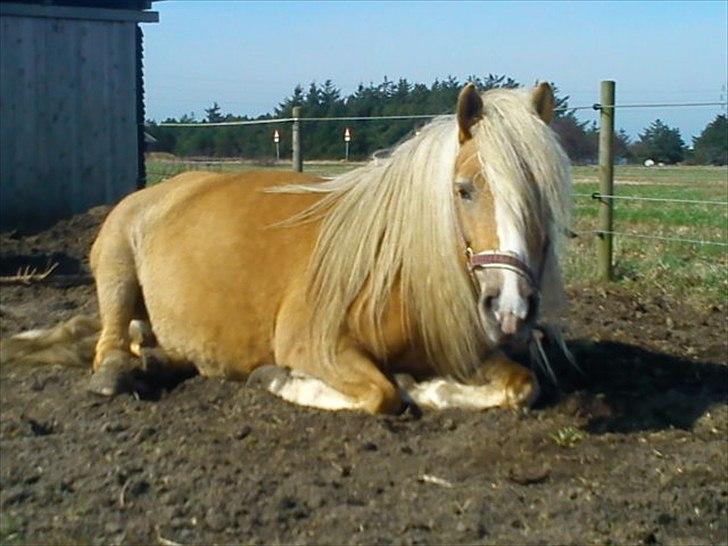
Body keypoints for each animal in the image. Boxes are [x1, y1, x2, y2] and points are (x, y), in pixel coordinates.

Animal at [4, 82, 576, 412]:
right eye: (464, 190)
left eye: (542, 194)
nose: (510, 307)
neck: (395, 271)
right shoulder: (315, 343)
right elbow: (380, 394)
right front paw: (280, 381)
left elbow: (521, 386)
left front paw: (425, 387)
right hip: (118, 268)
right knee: (109, 341)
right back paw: (119, 372)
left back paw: (157, 360)